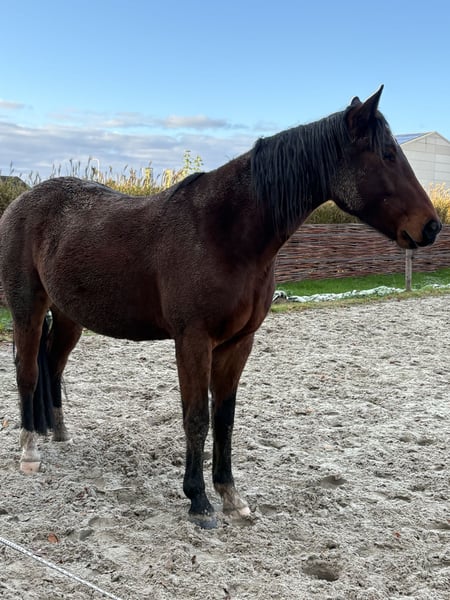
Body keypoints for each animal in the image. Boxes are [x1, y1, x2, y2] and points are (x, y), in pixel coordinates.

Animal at [0, 87, 441, 528]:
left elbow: (225, 419)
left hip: (69, 316)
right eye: (388, 154)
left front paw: (230, 495)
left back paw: (57, 432)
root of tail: (21, 202)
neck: (222, 232)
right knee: (28, 372)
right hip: (28, 308)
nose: (432, 226)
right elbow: (197, 417)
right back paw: (29, 451)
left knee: (53, 365)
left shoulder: (237, 343)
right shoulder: (193, 341)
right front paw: (198, 500)